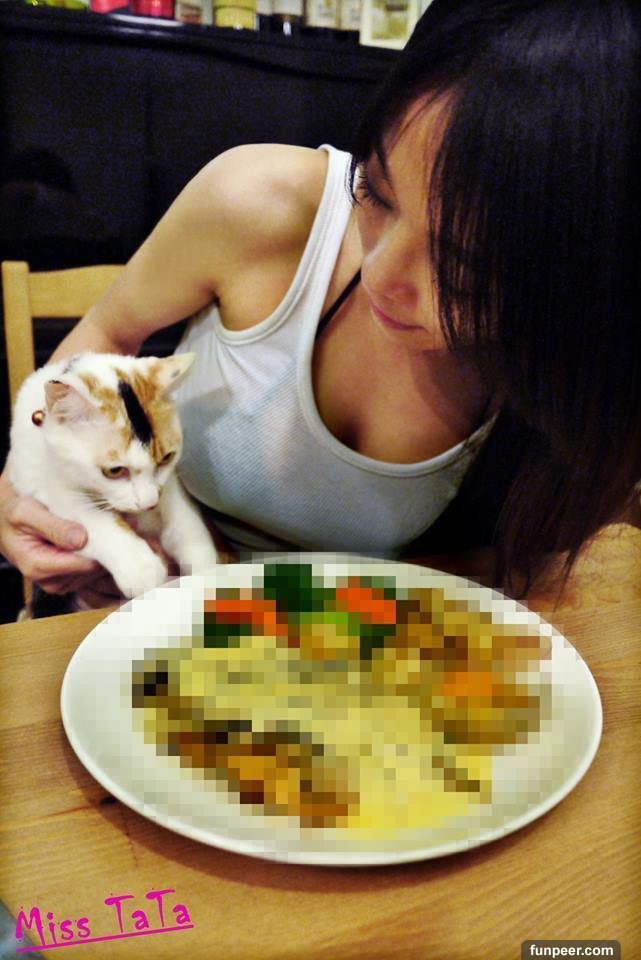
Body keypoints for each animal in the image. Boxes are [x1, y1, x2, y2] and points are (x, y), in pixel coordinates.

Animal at [8, 352, 220, 602]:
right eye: (114, 471)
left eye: (167, 458)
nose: (149, 504)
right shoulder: (37, 479)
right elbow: (90, 515)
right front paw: (139, 567)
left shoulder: (167, 486)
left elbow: (182, 517)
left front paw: (206, 569)